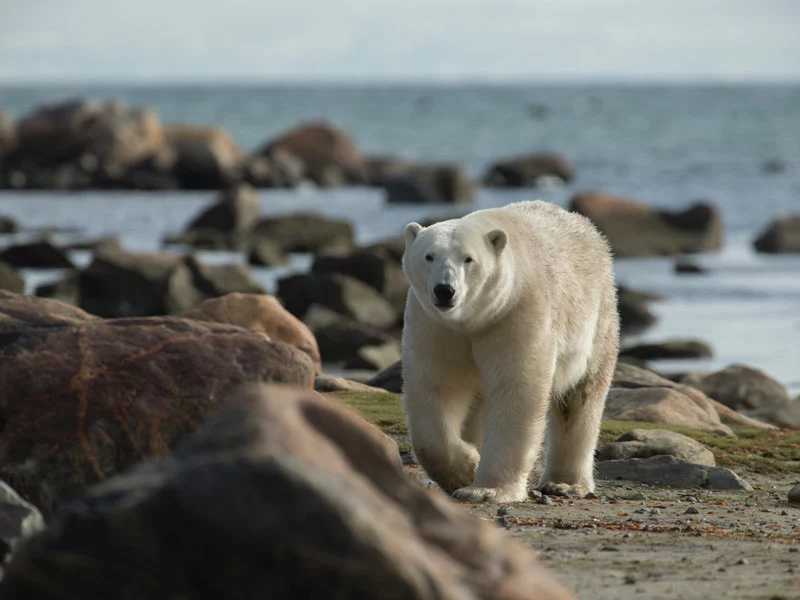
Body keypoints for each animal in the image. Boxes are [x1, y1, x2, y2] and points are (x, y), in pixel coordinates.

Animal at [404, 200, 620, 502]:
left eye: (468, 259)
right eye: (429, 256)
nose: (444, 290)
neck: (474, 319)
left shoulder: (515, 312)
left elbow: (516, 389)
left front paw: (486, 489)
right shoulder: (436, 326)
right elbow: (436, 386)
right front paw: (466, 468)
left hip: (596, 317)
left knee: (580, 397)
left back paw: (565, 483)